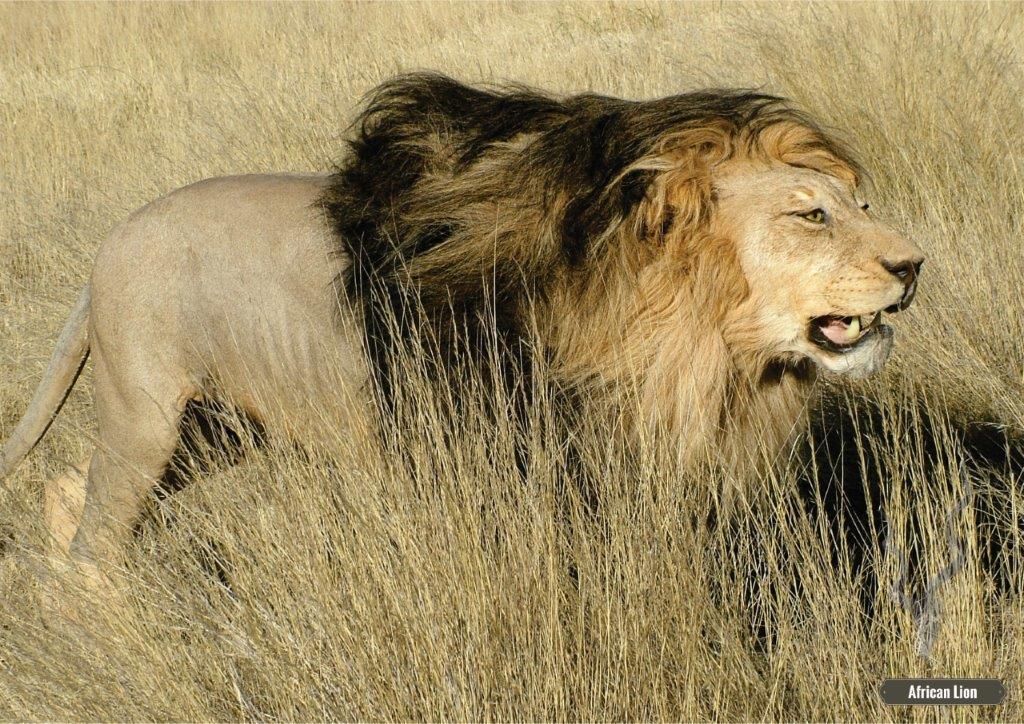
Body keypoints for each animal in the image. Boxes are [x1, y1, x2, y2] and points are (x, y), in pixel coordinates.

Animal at [0, 73, 922, 584]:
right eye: (811, 215)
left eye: (859, 205)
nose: (914, 267)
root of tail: (109, 243)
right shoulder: (517, 468)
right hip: (147, 411)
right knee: (94, 541)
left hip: (217, 428)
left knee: (70, 490)